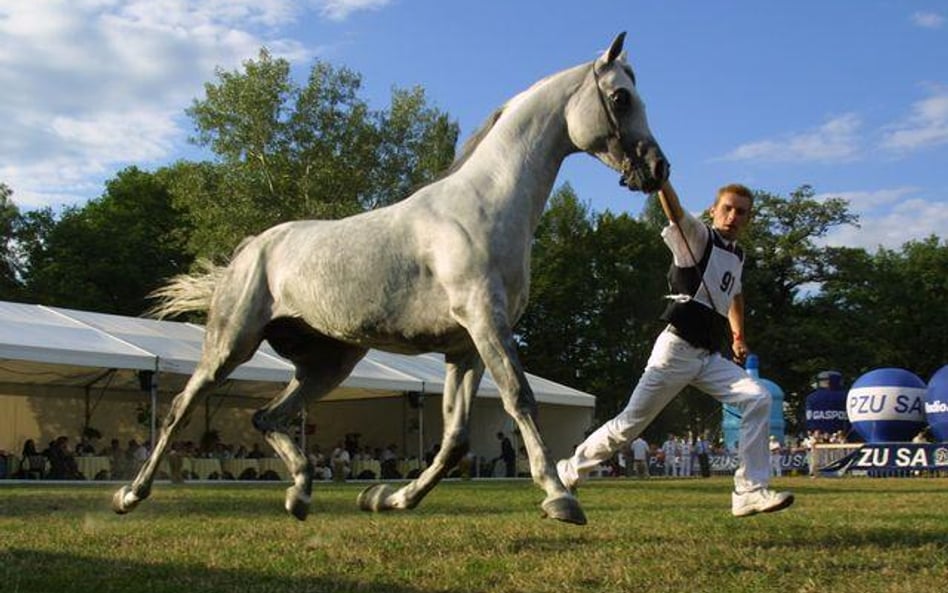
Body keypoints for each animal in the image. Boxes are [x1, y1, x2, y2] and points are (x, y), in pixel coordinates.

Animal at [113, 32, 668, 524]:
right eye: (620, 98)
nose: (657, 169)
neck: (483, 206)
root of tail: (252, 248)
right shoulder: (486, 324)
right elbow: (519, 399)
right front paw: (558, 497)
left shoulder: (465, 348)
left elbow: (454, 440)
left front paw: (387, 499)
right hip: (232, 345)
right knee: (181, 407)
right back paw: (130, 495)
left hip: (329, 363)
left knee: (266, 416)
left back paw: (300, 494)